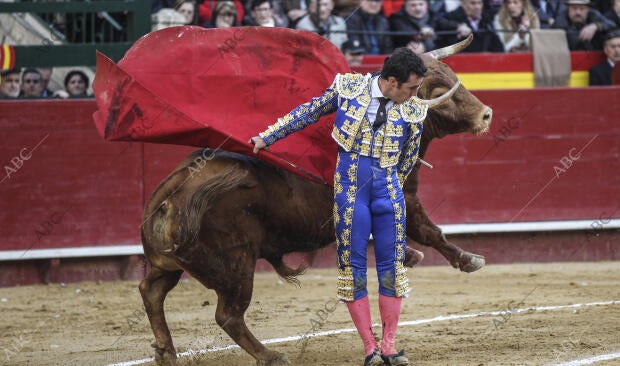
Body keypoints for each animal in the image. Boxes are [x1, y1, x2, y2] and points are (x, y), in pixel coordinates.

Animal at [140, 36, 494, 366]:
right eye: (442, 89)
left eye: (453, 75)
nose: (487, 114)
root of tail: (174, 190)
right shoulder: (408, 198)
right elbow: (430, 231)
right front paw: (467, 259)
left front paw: (419, 255)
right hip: (236, 265)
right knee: (228, 315)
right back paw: (270, 355)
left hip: (168, 265)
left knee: (151, 291)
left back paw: (166, 351)